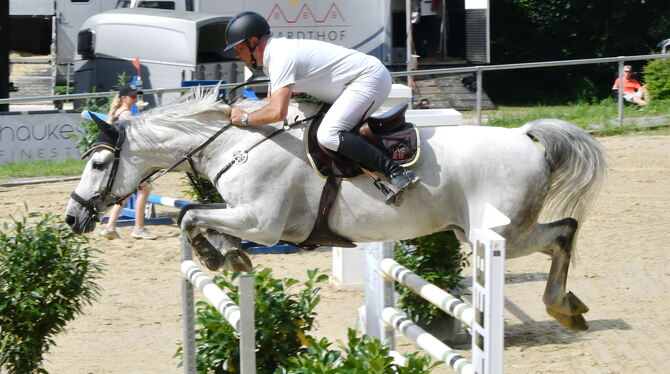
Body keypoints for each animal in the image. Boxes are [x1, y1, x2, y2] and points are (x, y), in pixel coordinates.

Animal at [64, 90, 608, 330]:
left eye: (98, 163)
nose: (72, 219)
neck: (237, 145)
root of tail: (524, 136)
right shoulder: (243, 213)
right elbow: (195, 214)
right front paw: (228, 256)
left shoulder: (262, 221)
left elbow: (190, 216)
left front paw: (220, 255)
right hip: (480, 232)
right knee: (563, 232)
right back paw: (568, 308)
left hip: (498, 235)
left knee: (564, 230)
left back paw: (562, 307)